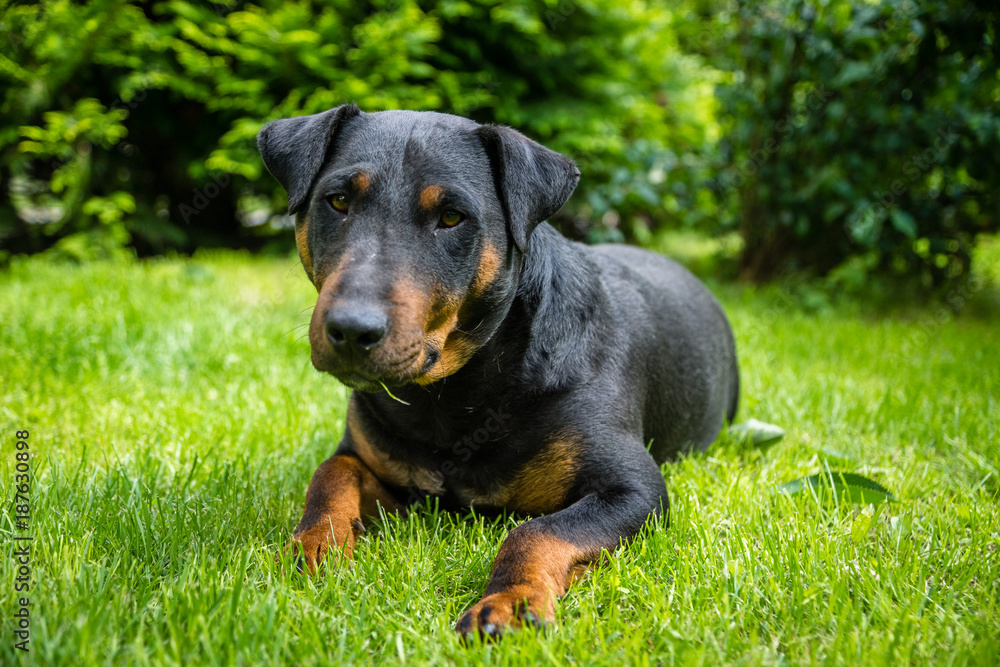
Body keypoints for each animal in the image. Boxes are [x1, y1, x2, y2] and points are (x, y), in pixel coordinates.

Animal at [256, 104, 744, 636]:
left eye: (452, 217)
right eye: (338, 200)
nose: (351, 329)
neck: (457, 395)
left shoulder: (634, 488)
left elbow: (537, 531)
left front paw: (510, 601)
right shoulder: (372, 456)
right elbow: (331, 472)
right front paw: (312, 545)